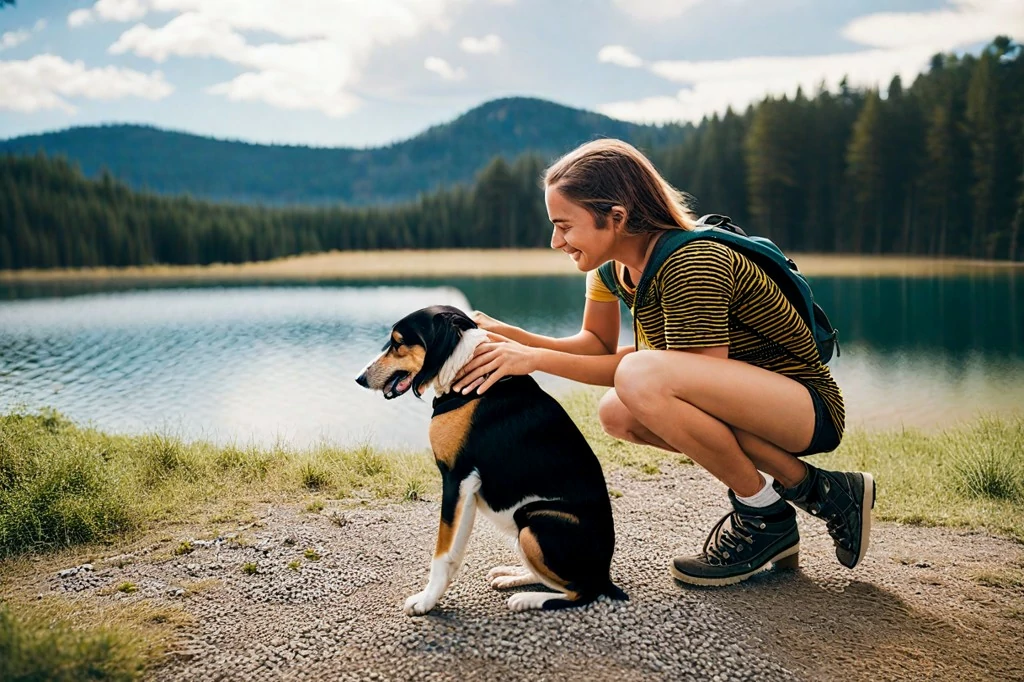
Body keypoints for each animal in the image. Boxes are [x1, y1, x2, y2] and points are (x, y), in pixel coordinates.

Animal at [356, 305, 626, 614]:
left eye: (398, 342)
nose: (360, 379)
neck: (463, 370)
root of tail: (604, 574)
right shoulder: (468, 490)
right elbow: (453, 551)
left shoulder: (456, 478)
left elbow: (442, 554)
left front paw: (425, 601)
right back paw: (512, 576)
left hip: (533, 520)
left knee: (582, 591)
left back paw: (526, 599)